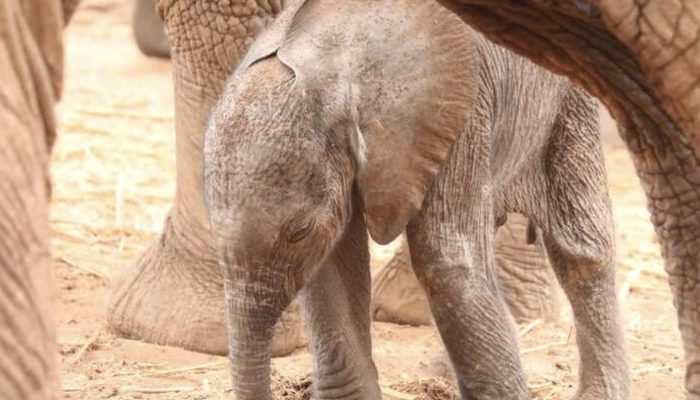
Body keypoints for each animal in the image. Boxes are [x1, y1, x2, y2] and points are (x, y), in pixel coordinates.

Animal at [203, 0, 626, 398]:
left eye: (299, 231)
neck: (336, 58)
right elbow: (333, 264)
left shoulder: (455, 112)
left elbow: (447, 261)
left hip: (569, 98)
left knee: (581, 245)